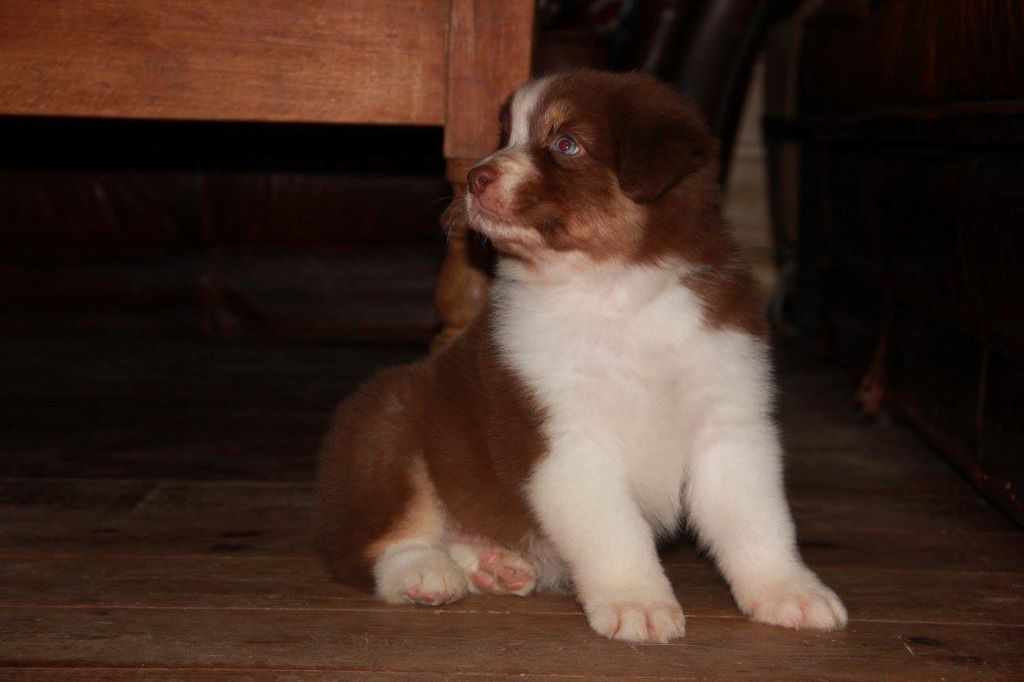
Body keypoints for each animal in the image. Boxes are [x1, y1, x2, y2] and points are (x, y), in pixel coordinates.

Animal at [315, 70, 847, 643]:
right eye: (505, 134)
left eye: (565, 143)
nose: (475, 177)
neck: (616, 288)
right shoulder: (566, 439)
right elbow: (615, 531)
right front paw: (638, 604)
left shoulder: (730, 421)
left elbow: (758, 522)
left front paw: (790, 593)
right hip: (384, 429)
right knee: (368, 546)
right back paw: (425, 573)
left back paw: (492, 565)